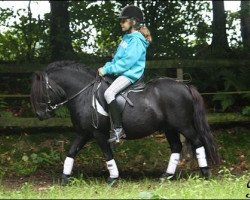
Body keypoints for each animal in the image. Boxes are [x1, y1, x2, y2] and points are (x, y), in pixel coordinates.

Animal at [30, 60, 220, 184]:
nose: (40, 115)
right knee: (176, 147)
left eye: (42, 91)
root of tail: (184, 86)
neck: (84, 94)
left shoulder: (99, 134)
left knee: (197, 142)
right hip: (169, 127)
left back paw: (205, 173)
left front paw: (113, 178)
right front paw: (64, 178)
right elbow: (71, 152)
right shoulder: (84, 133)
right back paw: (166, 176)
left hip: (183, 125)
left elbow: (107, 154)